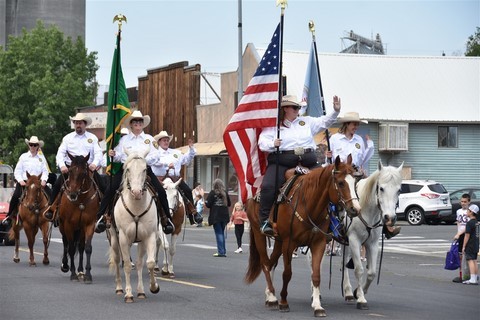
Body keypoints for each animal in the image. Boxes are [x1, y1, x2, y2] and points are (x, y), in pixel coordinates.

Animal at [57, 154, 100, 282]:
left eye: (84, 173)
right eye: (70, 171)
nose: (73, 194)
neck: (80, 200)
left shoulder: (89, 224)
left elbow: (87, 248)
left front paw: (88, 274)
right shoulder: (68, 225)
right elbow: (70, 248)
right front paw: (72, 274)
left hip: (80, 229)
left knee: (80, 247)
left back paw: (80, 271)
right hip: (63, 227)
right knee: (65, 243)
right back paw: (65, 265)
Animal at [108, 151, 160, 302]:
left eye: (145, 169)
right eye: (128, 169)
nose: (136, 192)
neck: (136, 207)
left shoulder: (149, 236)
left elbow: (149, 263)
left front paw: (153, 287)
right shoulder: (123, 238)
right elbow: (125, 264)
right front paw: (129, 294)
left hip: (139, 241)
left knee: (138, 263)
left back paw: (141, 291)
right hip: (114, 238)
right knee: (117, 260)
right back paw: (119, 288)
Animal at [244, 156, 360, 318]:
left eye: (355, 182)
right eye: (341, 183)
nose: (355, 209)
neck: (310, 205)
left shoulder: (318, 243)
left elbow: (316, 275)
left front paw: (317, 306)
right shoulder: (289, 244)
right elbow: (287, 274)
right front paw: (283, 302)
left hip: (279, 242)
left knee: (272, 262)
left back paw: (269, 293)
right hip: (259, 234)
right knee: (266, 264)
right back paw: (272, 297)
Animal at [342, 161, 404, 308]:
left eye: (399, 190)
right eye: (381, 188)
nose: (389, 218)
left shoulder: (373, 243)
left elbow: (371, 272)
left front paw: (359, 292)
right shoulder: (354, 240)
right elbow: (359, 270)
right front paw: (361, 299)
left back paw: (348, 293)